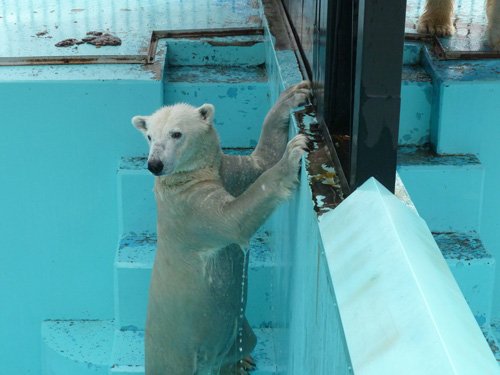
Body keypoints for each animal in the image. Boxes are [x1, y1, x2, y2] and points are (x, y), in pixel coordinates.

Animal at [132, 81, 312, 374]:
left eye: (176, 133)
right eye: (149, 136)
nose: (154, 164)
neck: (187, 178)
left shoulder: (226, 170)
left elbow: (260, 160)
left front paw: (294, 95)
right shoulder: (190, 210)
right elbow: (233, 220)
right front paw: (294, 151)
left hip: (238, 329)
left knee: (244, 340)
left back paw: (242, 360)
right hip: (174, 355)